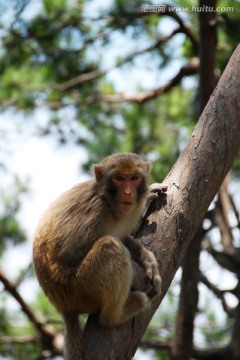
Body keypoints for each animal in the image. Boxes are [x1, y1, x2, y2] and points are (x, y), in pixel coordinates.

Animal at [32, 153, 168, 360]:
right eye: (119, 178)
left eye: (134, 178)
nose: (127, 193)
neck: (108, 201)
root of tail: (63, 306)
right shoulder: (96, 211)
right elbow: (70, 255)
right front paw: (137, 271)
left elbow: (122, 235)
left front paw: (148, 259)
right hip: (79, 288)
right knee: (110, 246)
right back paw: (116, 315)